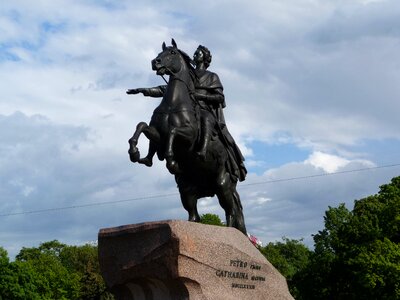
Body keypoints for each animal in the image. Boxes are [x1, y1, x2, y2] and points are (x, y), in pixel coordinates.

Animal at [128, 39, 247, 234]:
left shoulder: (188, 138)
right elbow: (142, 126)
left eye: (172, 53)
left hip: (223, 185)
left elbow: (173, 132)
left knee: (231, 212)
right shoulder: (157, 134)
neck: (173, 104)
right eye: (161, 53)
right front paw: (136, 153)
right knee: (195, 216)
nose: (155, 62)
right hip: (187, 189)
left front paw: (171, 160)